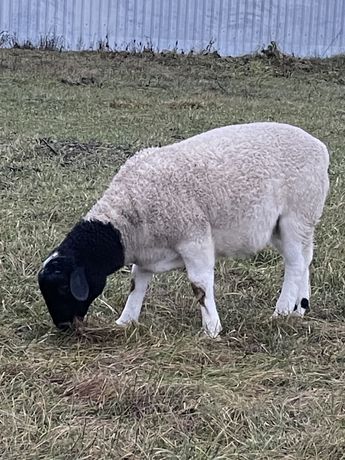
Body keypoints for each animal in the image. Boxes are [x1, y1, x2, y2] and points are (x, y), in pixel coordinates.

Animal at [37, 122, 328, 338]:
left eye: (62, 288)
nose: (63, 327)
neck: (126, 221)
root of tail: (321, 148)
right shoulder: (147, 251)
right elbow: (136, 283)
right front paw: (125, 321)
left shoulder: (195, 238)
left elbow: (199, 286)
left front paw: (212, 329)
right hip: (286, 225)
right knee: (305, 259)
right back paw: (300, 309)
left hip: (296, 214)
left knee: (294, 264)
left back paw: (280, 312)